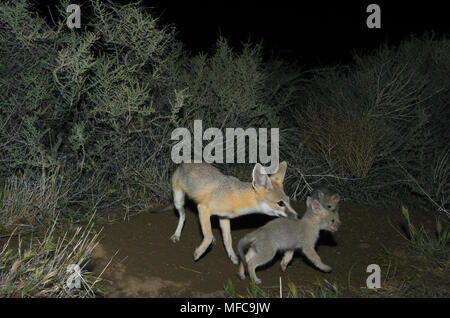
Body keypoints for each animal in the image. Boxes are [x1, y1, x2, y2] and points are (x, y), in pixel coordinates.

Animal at [163, 161, 298, 264]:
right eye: (280, 203)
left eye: (288, 201)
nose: (296, 216)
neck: (235, 196)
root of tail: (184, 163)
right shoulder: (203, 208)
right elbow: (207, 237)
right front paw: (199, 252)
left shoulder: (224, 218)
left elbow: (227, 240)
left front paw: (232, 257)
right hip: (178, 201)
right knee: (183, 216)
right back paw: (177, 235)